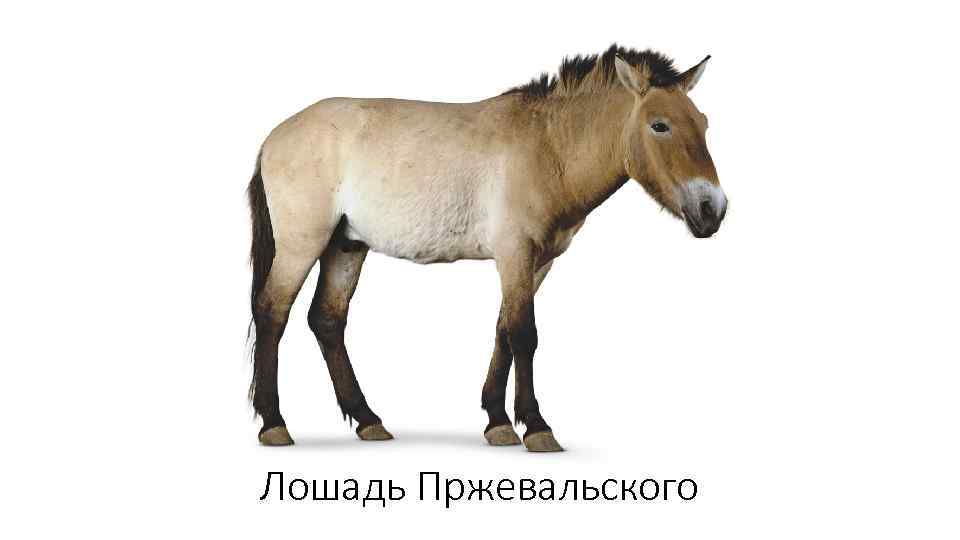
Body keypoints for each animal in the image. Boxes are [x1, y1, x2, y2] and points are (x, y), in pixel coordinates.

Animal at [246, 44, 726, 452]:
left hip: (346, 245)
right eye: (659, 125)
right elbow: (524, 334)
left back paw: (368, 420)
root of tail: (273, 137)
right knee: (272, 312)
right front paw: (537, 427)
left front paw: (498, 421)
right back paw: (274, 424)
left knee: (327, 320)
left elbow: (503, 331)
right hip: (303, 243)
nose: (713, 208)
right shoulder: (514, 252)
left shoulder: (536, 261)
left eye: (703, 124)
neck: (547, 146)